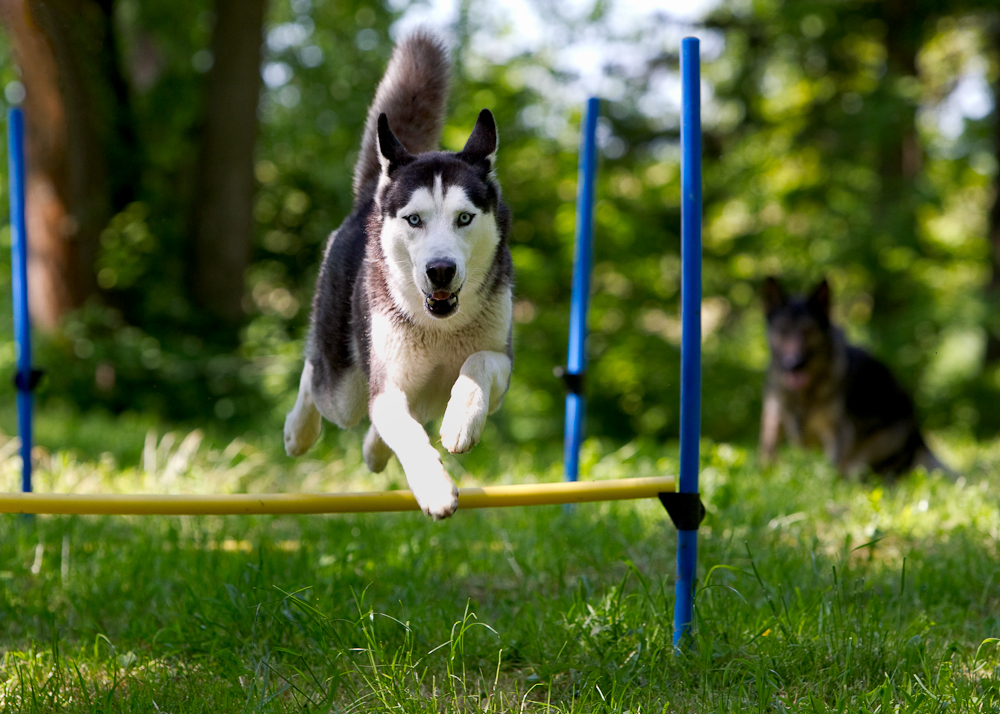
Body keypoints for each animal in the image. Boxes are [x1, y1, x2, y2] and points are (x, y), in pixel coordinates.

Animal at [284, 30, 512, 516]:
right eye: (414, 219)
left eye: (465, 218)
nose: (440, 270)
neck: (440, 327)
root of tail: (370, 196)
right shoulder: (386, 384)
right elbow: (405, 432)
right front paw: (434, 486)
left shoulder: (501, 362)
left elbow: (478, 364)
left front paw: (461, 421)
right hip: (345, 386)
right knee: (318, 377)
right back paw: (299, 431)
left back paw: (374, 449)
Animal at [760, 278, 948, 478]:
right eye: (783, 330)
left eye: (808, 330)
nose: (795, 363)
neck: (803, 395)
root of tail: (918, 435)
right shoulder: (773, 421)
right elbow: (766, 457)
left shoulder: (838, 433)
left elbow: (830, 471)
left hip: (870, 457)